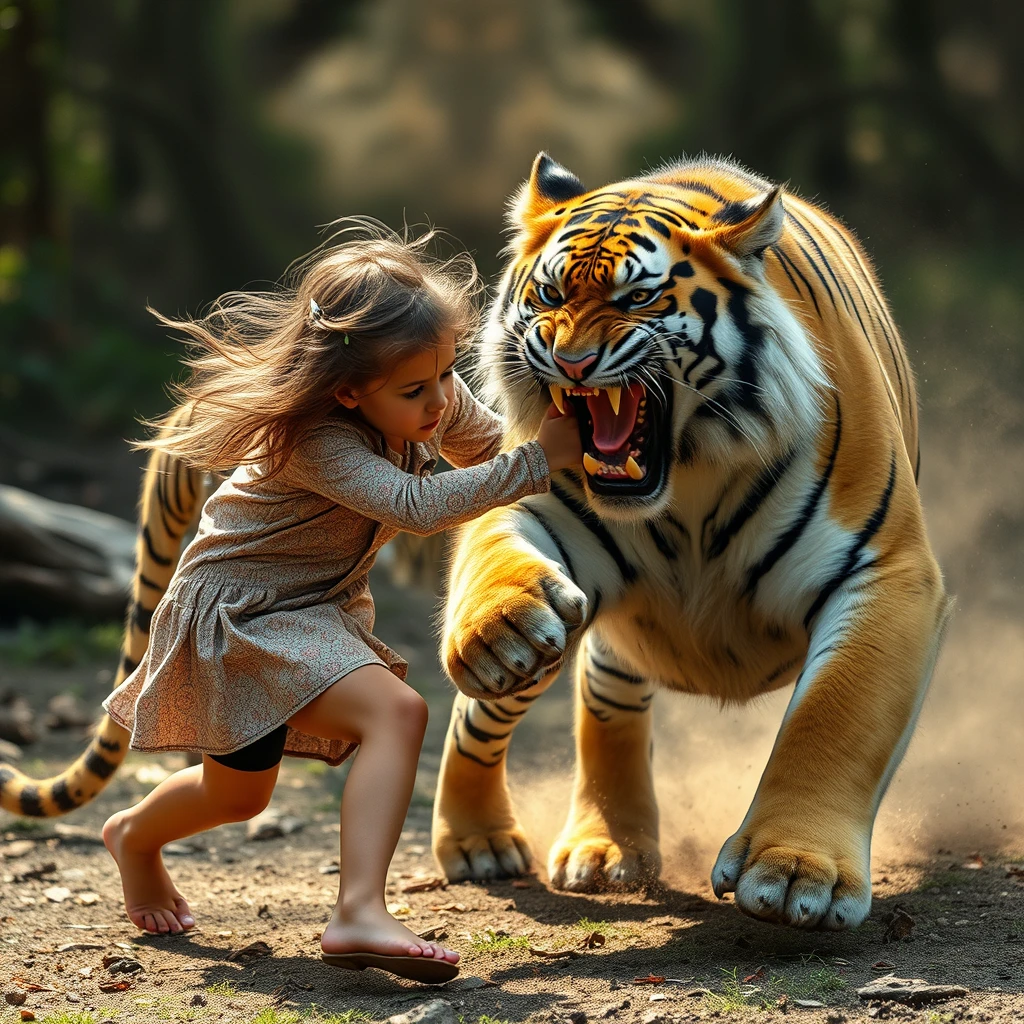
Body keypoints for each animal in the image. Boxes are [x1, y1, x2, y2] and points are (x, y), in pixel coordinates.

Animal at [432, 149, 950, 929]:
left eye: (637, 300)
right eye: (550, 294)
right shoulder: (534, 493)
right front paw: (501, 629)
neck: (689, 474)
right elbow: (496, 556)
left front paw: (797, 875)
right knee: (521, 709)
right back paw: (515, 844)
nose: (570, 361)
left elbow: (834, 716)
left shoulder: (886, 572)